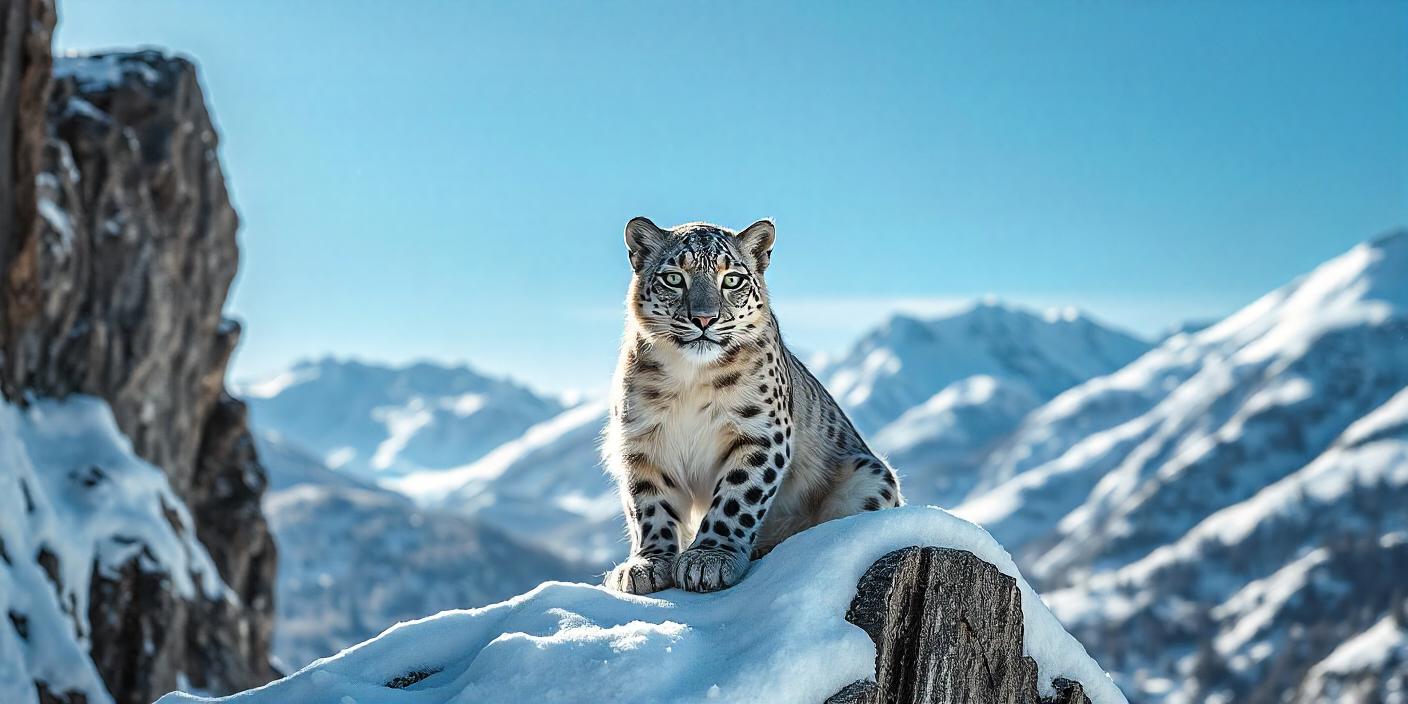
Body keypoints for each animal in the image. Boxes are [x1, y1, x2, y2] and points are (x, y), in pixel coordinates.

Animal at [602, 217, 903, 594]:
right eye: (673, 277)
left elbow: (737, 498)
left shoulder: (759, 431)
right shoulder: (639, 440)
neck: (690, 378)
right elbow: (648, 505)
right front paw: (646, 564)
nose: (705, 318)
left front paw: (708, 559)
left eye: (732, 279)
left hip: (871, 477)